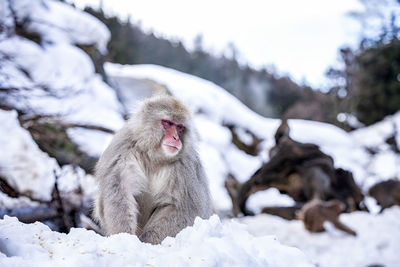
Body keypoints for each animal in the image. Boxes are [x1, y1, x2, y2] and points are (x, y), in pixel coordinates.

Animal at [94, 94, 212, 245]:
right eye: (168, 123)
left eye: (180, 127)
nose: (176, 138)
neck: (154, 156)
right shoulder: (123, 149)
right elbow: (120, 190)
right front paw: (125, 236)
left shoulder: (185, 167)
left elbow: (183, 207)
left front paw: (147, 241)